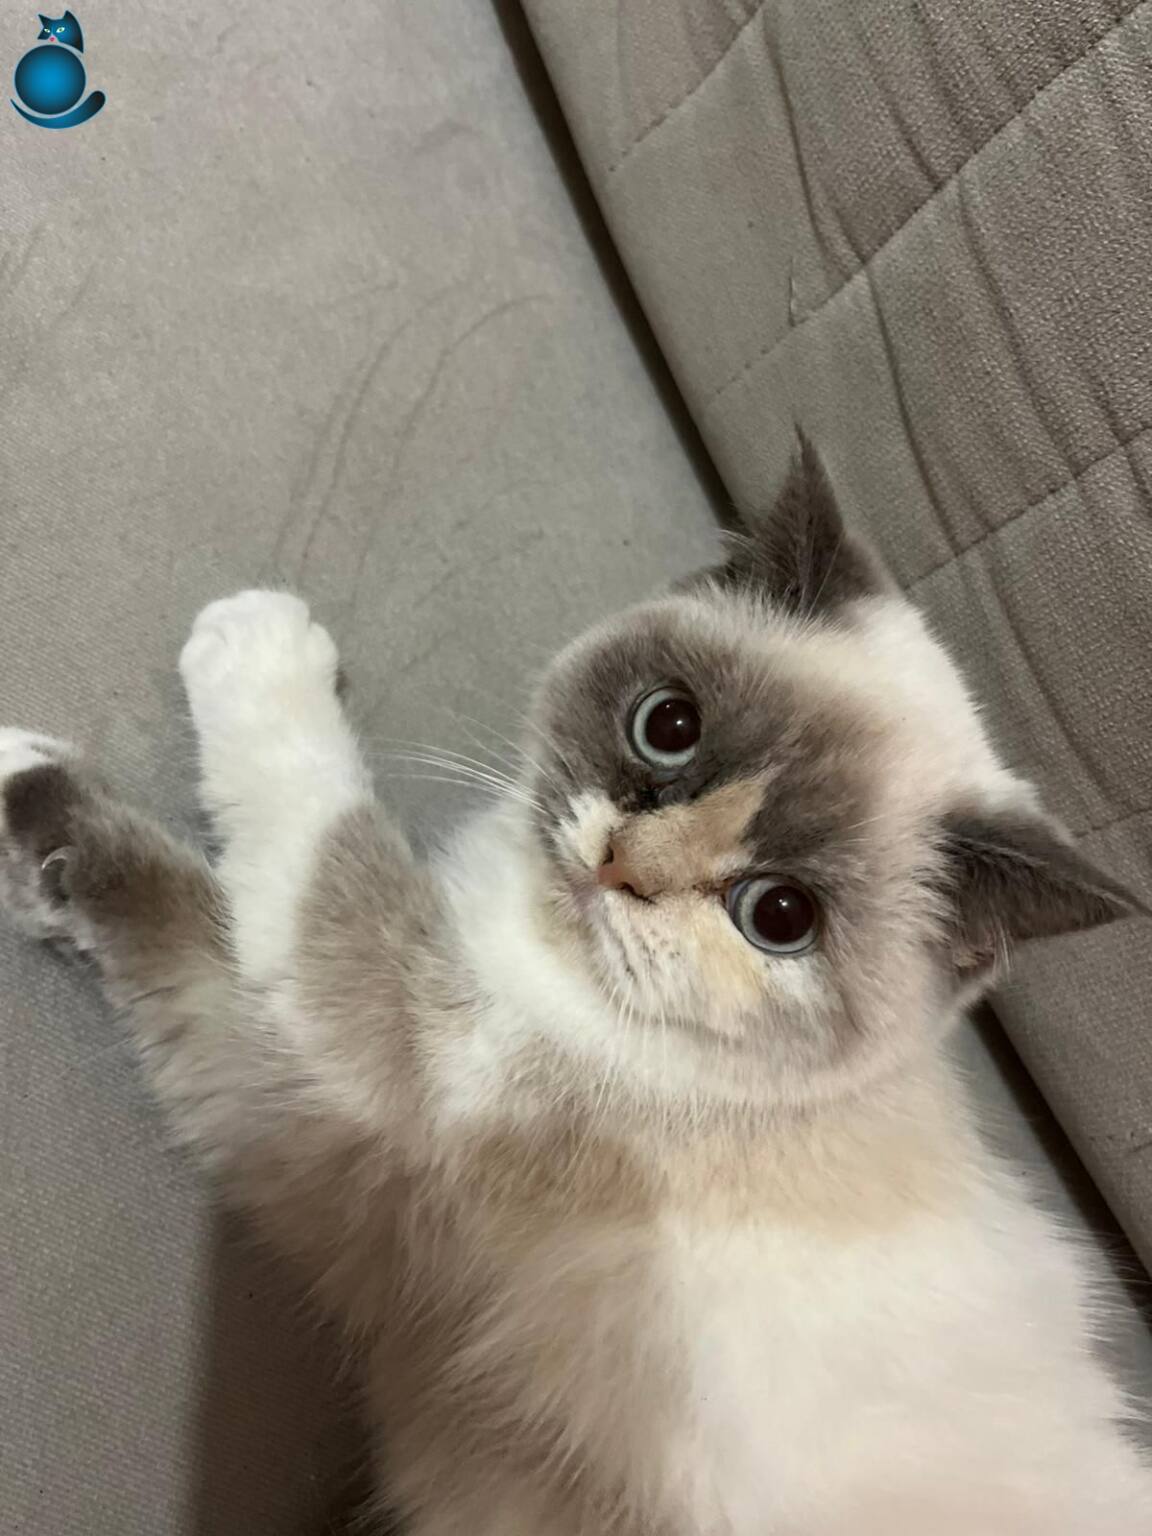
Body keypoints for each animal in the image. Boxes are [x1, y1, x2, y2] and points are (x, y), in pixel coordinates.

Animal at [2, 441, 1151, 1534]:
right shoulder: (309, 1139)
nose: (621, 866)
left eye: (780, 917)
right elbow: (172, 918)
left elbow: (313, 823)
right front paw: (21, 800)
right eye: (669, 727)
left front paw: (257, 641)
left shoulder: (389, 1049)